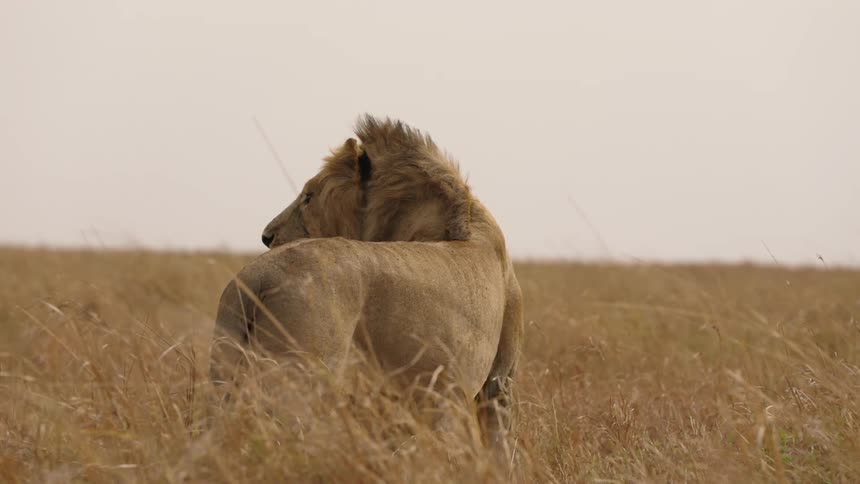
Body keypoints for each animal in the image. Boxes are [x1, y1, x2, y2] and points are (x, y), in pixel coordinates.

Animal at [211, 115, 523, 448]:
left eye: (308, 196)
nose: (266, 236)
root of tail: (252, 277)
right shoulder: (496, 382)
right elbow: (499, 446)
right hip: (302, 378)